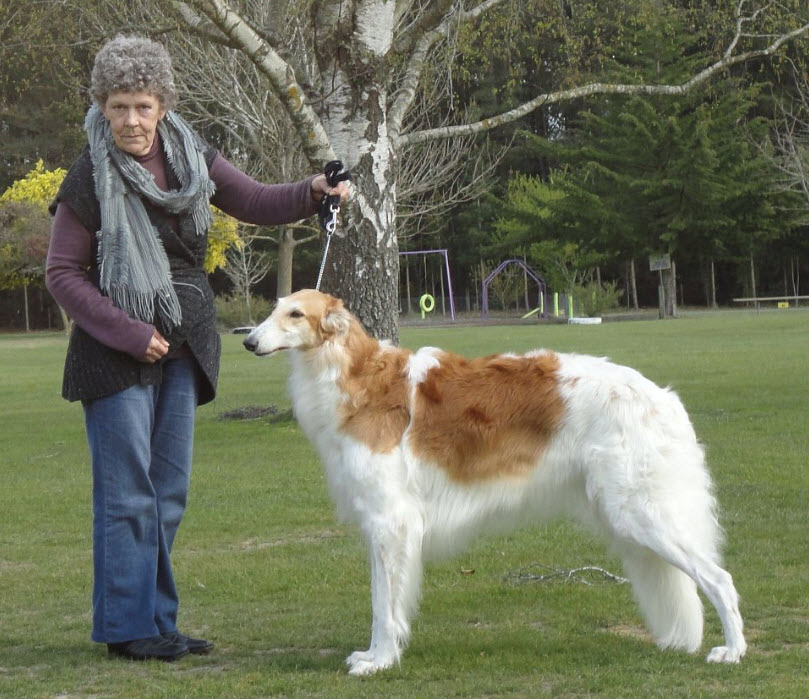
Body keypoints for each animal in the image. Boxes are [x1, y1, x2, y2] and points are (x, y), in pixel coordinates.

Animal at [245, 292, 744, 680]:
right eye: (273, 309)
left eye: (295, 314)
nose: (248, 340)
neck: (357, 376)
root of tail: (663, 397)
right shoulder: (380, 525)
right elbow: (381, 599)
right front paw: (373, 655)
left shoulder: (390, 521)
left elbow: (383, 606)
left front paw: (380, 660)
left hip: (639, 511)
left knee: (720, 578)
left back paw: (733, 650)